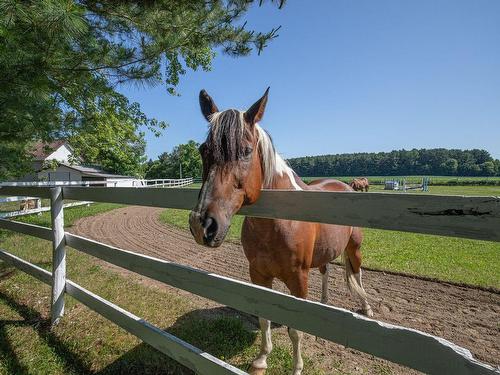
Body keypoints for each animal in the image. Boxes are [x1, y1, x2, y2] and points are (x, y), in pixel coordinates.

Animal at [189, 89, 374, 375]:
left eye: (245, 151)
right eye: (203, 150)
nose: (203, 224)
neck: (277, 224)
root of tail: (346, 185)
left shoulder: (298, 279)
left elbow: (295, 330)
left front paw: (297, 367)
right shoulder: (258, 275)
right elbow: (264, 318)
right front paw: (261, 359)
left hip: (354, 249)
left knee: (357, 274)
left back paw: (366, 307)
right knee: (326, 270)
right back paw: (323, 304)